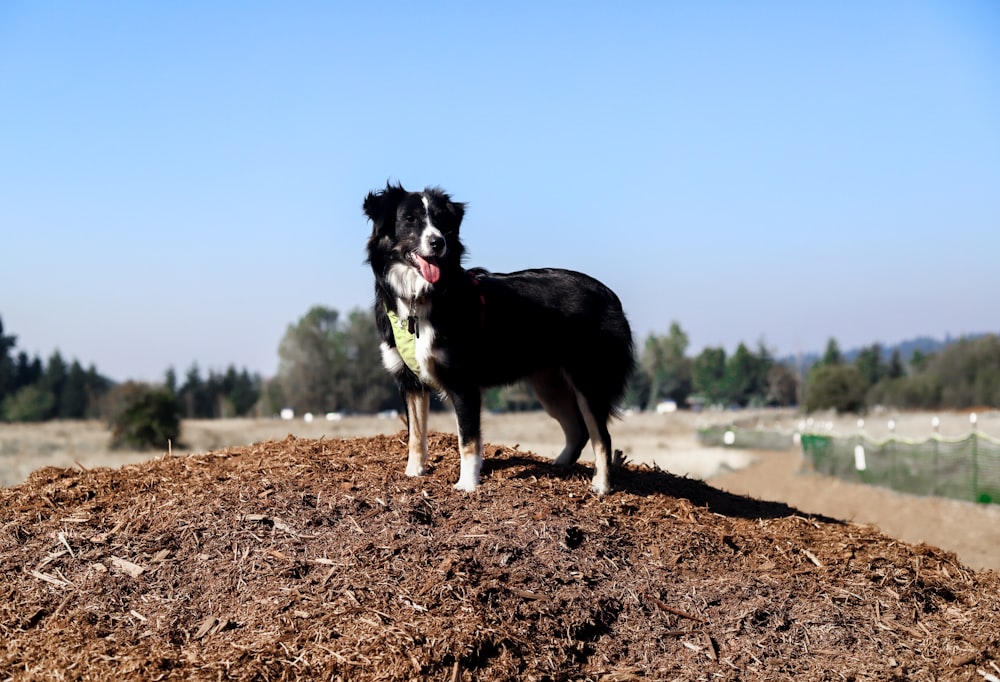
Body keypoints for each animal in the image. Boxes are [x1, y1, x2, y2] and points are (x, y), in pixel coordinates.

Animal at [366, 183, 632, 494]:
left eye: (442, 221)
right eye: (410, 220)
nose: (438, 243)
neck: (419, 298)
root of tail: (609, 295)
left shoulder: (464, 382)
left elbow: (468, 440)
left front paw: (467, 484)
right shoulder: (410, 382)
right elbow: (415, 435)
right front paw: (413, 473)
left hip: (587, 380)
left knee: (602, 436)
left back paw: (601, 485)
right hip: (549, 385)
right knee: (578, 431)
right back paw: (559, 467)